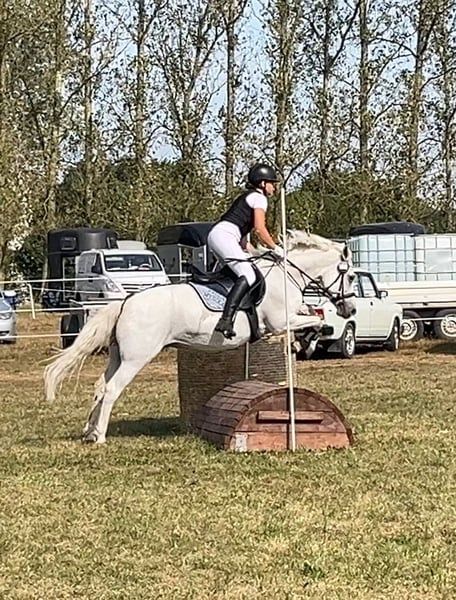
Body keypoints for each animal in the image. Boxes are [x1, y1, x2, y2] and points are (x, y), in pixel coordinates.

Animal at [44, 230, 357, 443]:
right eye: (352, 276)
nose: (351, 308)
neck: (286, 274)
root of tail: (126, 303)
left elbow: (314, 314)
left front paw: (307, 340)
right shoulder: (280, 322)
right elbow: (317, 319)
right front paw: (308, 340)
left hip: (118, 355)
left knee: (100, 386)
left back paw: (88, 430)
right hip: (136, 357)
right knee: (111, 389)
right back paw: (100, 436)